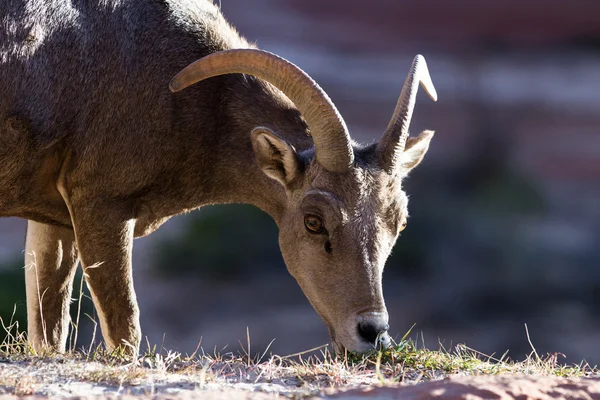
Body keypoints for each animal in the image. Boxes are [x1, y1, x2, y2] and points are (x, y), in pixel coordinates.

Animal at [1, 0, 436, 356]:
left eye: (399, 222)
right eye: (314, 221)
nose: (371, 333)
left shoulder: (55, 221)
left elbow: (50, 330)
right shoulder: (102, 207)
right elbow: (125, 329)